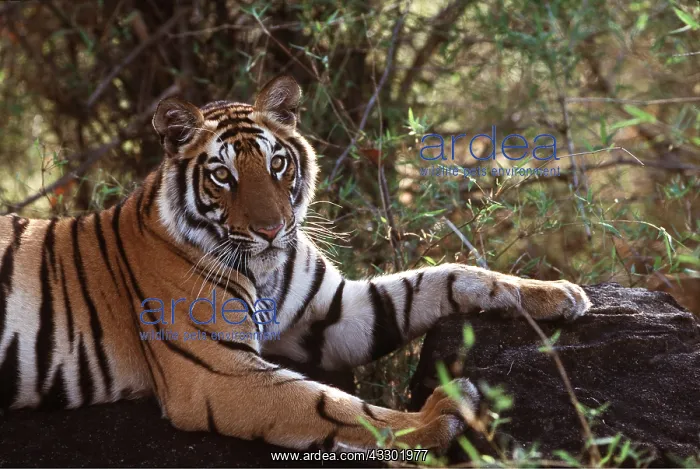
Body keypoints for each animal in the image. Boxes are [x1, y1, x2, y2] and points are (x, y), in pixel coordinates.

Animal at [0, 76, 591, 452]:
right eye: (222, 175)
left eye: (277, 163)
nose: (270, 229)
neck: (261, 266)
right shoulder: (218, 372)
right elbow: (334, 406)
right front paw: (442, 415)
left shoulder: (333, 313)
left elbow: (443, 276)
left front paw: (553, 293)